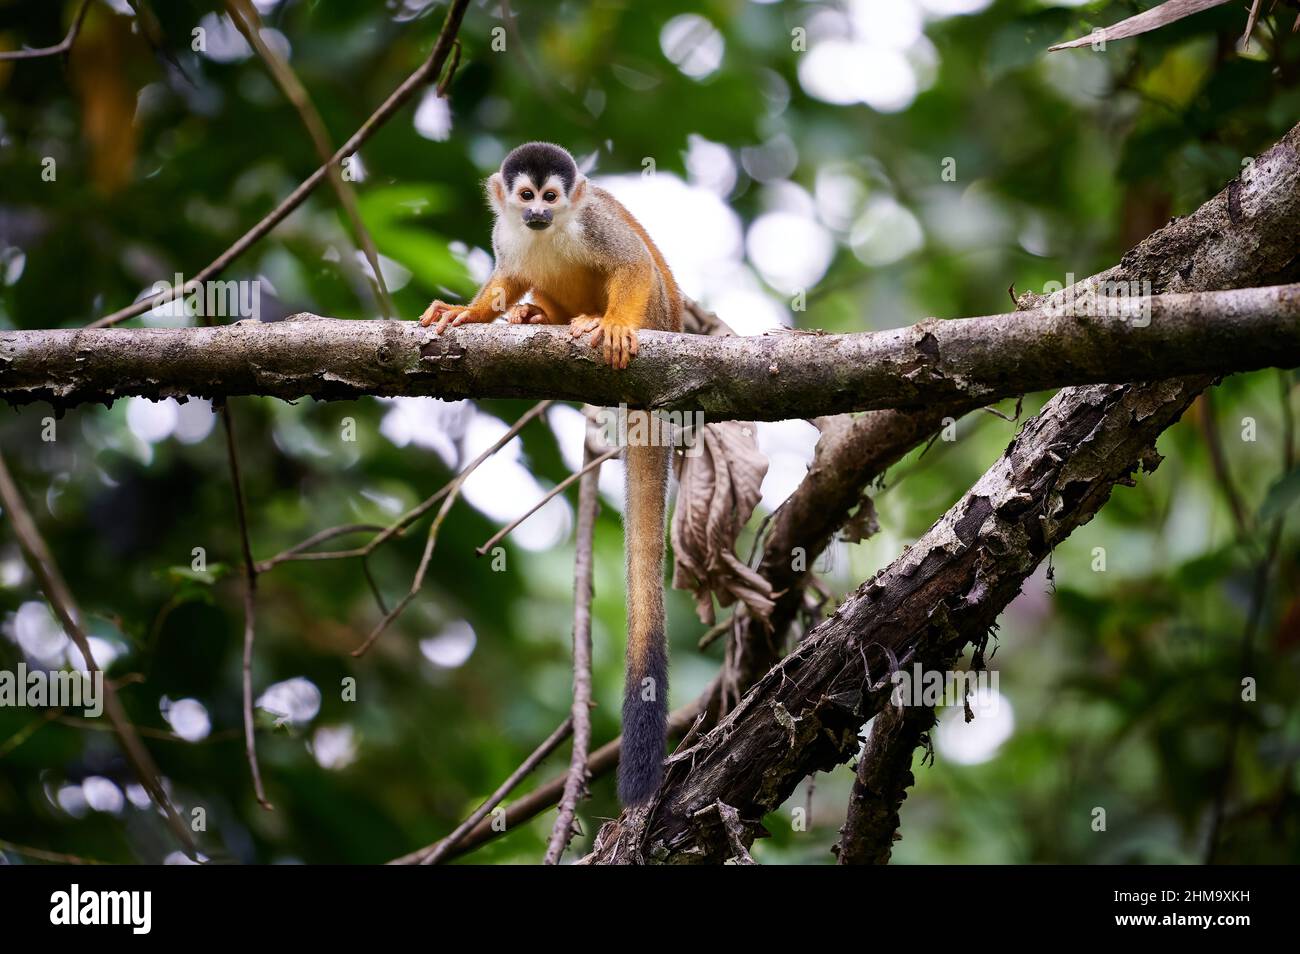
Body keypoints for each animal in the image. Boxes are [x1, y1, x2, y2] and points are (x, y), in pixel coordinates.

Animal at [421, 143, 686, 805]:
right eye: (525, 197)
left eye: (551, 197)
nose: (539, 214)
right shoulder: (505, 235)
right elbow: (506, 277)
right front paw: (467, 312)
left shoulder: (593, 223)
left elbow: (632, 263)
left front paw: (614, 325)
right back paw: (540, 316)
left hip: (662, 314)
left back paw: (590, 321)